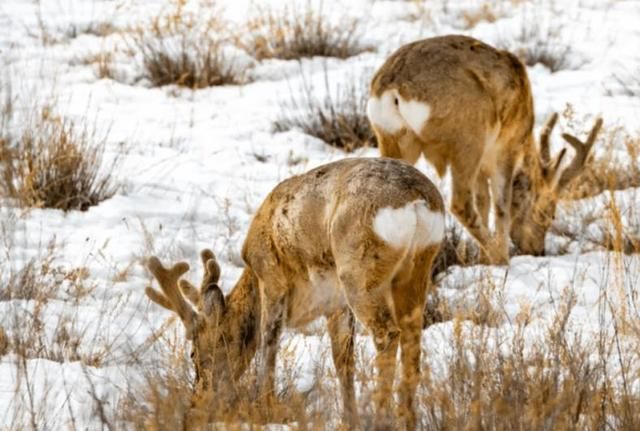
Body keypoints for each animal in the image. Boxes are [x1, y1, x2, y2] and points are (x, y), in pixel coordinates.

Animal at [145, 158, 444, 428]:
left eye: (194, 353)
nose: (197, 403)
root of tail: (417, 202)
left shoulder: (272, 278)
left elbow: (269, 342)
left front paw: (265, 407)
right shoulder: (335, 302)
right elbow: (343, 360)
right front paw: (349, 420)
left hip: (358, 270)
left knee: (387, 333)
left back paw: (382, 418)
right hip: (416, 270)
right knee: (412, 343)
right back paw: (407, 419)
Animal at [368, 34, 604, 264]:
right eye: (548, 213)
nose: (538, 250)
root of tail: (393, 87)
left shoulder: (483, 164)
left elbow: (484, 201)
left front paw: (482, 259)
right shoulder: (504, 148)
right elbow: (501, 205)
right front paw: (499, 258)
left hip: (392, 139)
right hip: (467, 140)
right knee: (460, 204)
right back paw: (498, 257)